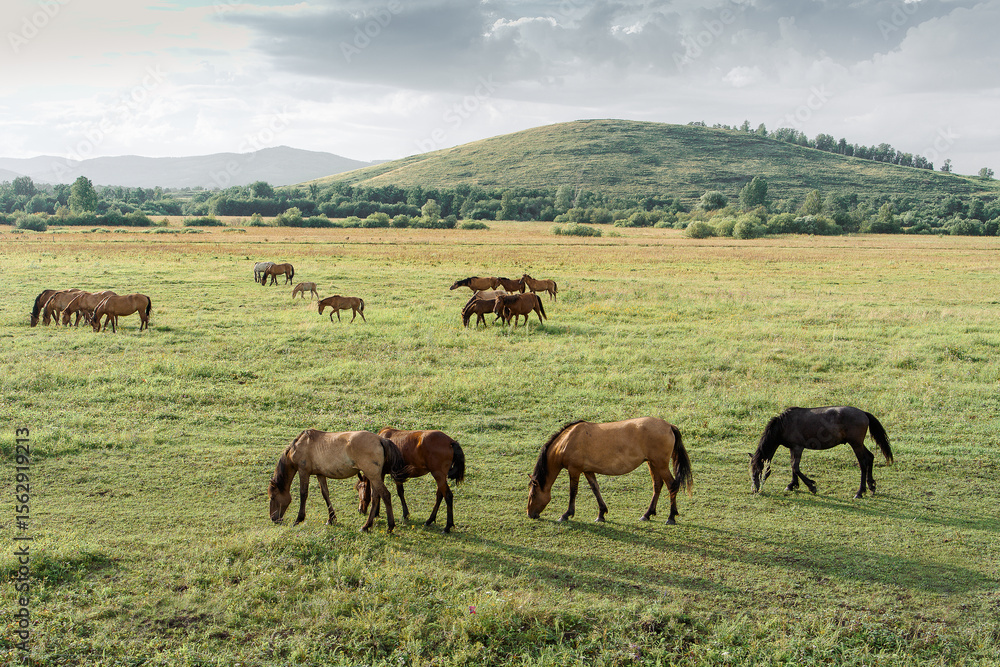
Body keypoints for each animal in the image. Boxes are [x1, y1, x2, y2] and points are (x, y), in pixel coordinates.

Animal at [267, 429, 408, 532]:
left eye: (273, 497)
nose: (273, 519)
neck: (300, 445)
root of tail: (380, 439)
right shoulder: (320, 474)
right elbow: (325, 494)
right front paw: (331, 519)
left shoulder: (303, 472)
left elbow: (303, 494)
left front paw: (298, 520)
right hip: (374, 477)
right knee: (375, 498)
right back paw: (366, 526)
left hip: (373, 475)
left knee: (385, 495)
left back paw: (390, 526)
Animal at [528, 417, 693, 524]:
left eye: (533, 494)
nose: (530, 514)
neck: (567, 440)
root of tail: (669, 426)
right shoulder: (588, 471)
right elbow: (595, 489)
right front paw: (601, 514)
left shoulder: (574, 470)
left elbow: (573, 492)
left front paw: (566, 514)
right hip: (653, 464)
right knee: (657, 486)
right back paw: (647, 514)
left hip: (661, 465)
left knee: (672, 485)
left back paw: (671, 517)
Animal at [749, 406, 893, 499]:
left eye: (758, 471)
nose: (755, 490)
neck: (784, 424)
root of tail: (863, 413)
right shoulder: (792, 448)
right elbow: (793, 467)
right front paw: (792, 485)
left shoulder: (798, 447)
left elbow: (795, 467)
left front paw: (811, 487)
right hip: (858, 444)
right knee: (870, 457)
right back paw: (871, 486)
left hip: (856, 444)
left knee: (863, 464)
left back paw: (859, 492)